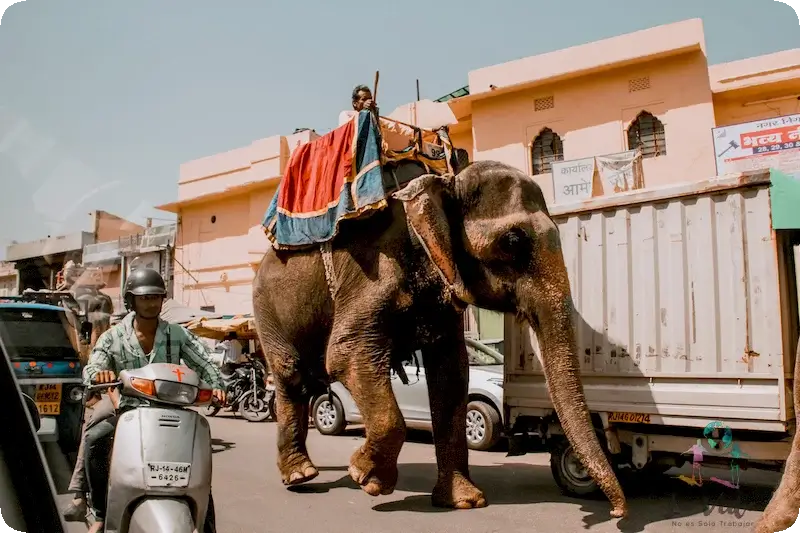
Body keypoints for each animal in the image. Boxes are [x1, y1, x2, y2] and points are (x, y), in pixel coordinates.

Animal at [253, 160, 628, 516]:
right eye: (512, 242)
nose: (615, 510)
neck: (444, 185)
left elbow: (452, 370)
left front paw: (464, 502)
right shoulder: (369, 274)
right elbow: (346, 354)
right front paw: (368, 479)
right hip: (267, 309)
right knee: (292, 376)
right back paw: (301, 476)